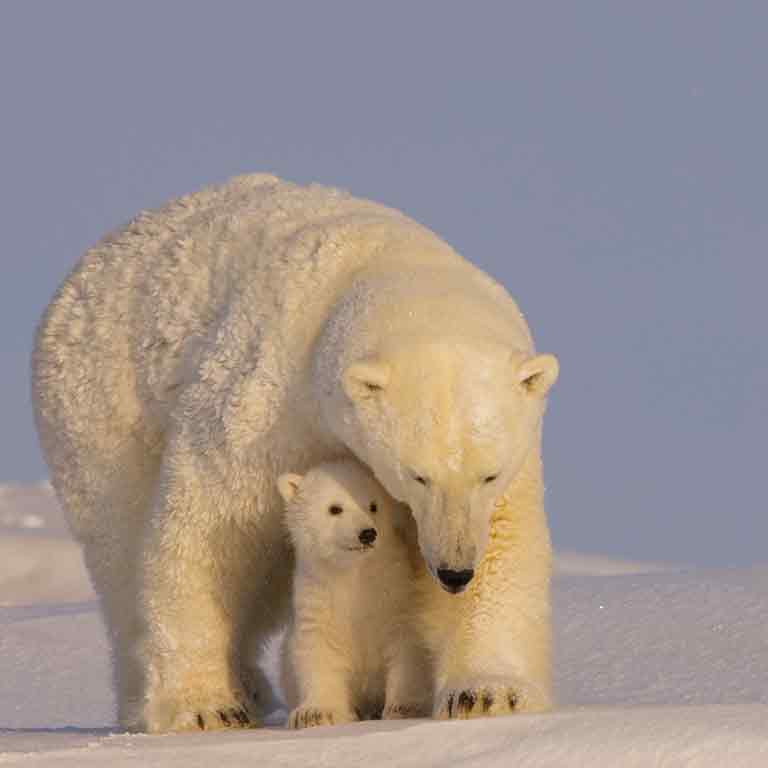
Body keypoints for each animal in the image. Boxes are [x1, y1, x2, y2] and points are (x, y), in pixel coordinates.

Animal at [278, 460, 432, 728]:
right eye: (335, 508)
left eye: (373, 505)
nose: (367, 533)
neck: (353, 576)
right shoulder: (317, 597)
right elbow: (317, 648)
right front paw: (315, 713)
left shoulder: (395, 595)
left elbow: (406, 645)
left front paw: (405, 707)